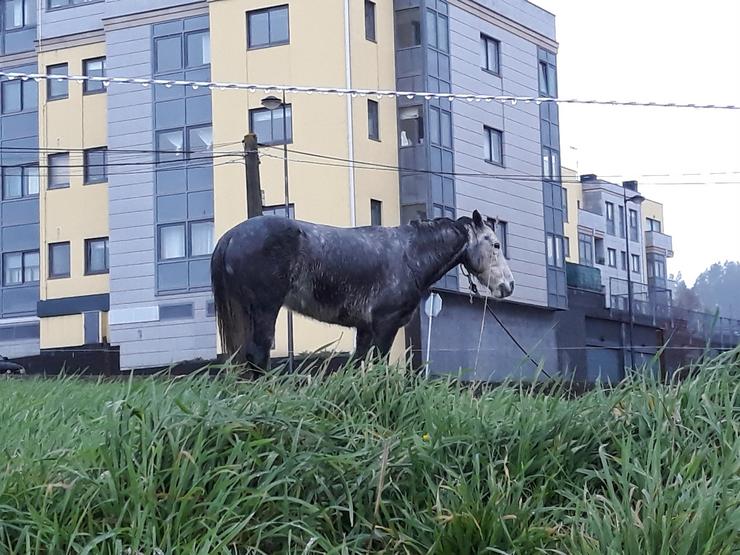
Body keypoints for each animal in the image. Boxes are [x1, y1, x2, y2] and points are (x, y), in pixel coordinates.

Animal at [211, 211, 516, 372]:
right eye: (496, 244)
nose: (508, 285)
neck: (409, 256)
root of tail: (232, 236)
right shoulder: (385, 325)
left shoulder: (365, 329)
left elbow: (357, 366)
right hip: (265, 309)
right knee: (257, 355)